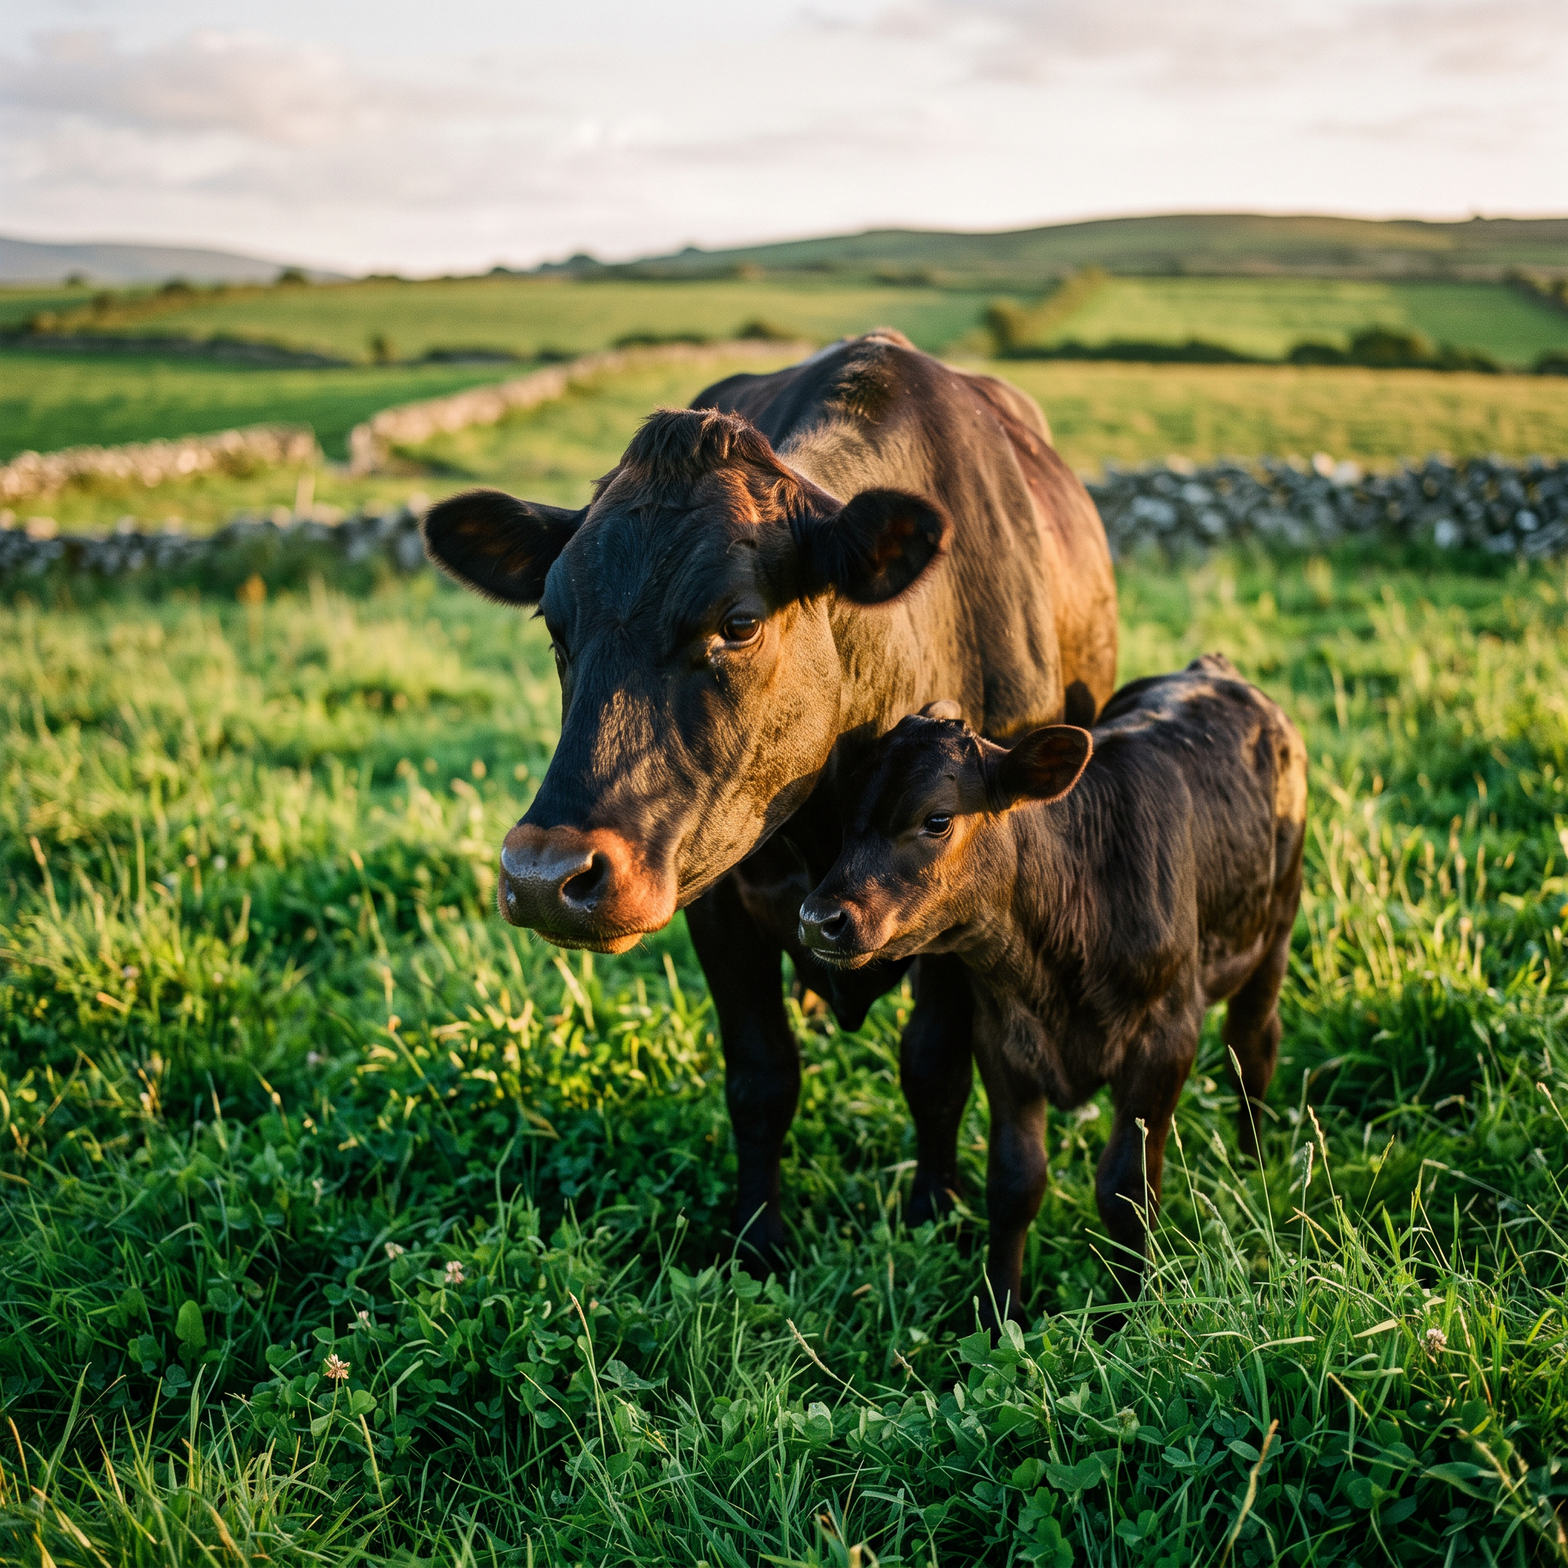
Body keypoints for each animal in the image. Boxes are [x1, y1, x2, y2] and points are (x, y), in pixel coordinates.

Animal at [420, 330, 1118, 1270]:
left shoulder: (967, 896)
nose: (541, 878)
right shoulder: (713, 893)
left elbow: (934, 1067)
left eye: (740, 623)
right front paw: (757, 1240)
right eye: (556, 627)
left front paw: (932, 1208)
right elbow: (760, 1078)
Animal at [797, 655, 1307, 1324]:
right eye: (843, 816)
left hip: (1274, 929)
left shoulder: (1165, 1038)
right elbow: (1015, 1183)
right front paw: (1001, 1313)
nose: (818, 919)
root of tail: (1216, 668)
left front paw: (1131, 1312)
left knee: (1253, 1047)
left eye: (937, 819)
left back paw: (1252, 1168)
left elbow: (1126, 1189)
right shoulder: (1003, 1040)